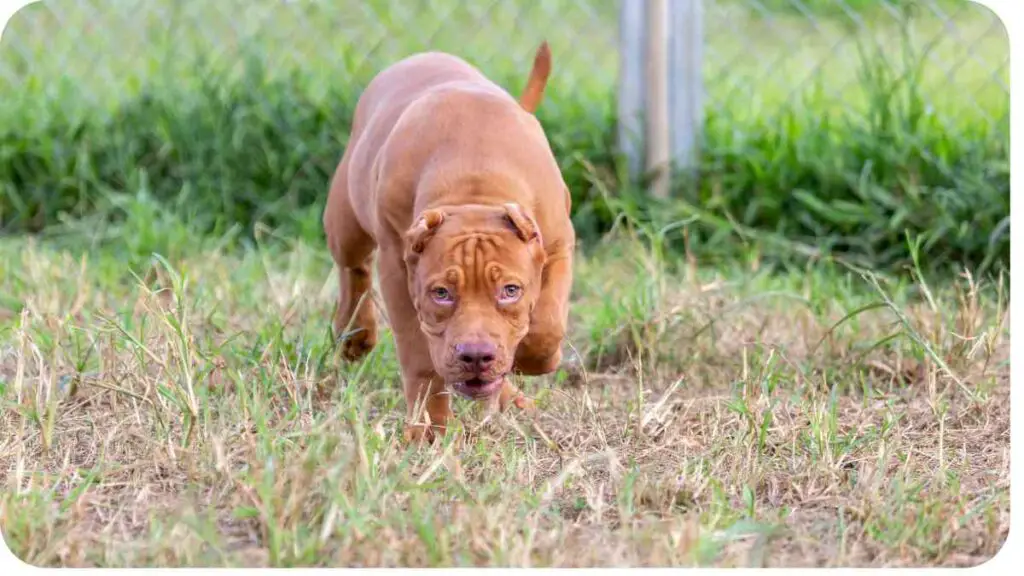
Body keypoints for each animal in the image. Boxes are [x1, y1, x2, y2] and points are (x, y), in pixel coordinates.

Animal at [323, 42, 573, 440]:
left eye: (511, 290)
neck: (474, 184)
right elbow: (419, 356)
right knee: (353, 267)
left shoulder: (558, 245)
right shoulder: (397, 270)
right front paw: (428, 427)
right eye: (441, 293)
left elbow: (547, 324)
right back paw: (354, 335)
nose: (476, 355)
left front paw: (536, 357)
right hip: (346, 218)